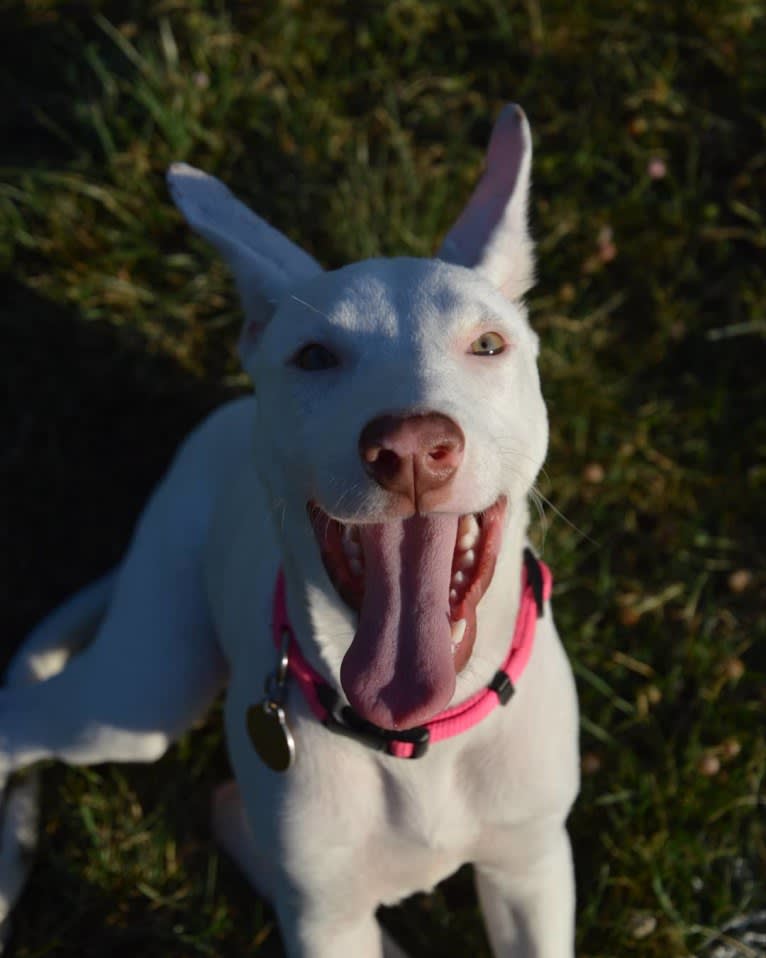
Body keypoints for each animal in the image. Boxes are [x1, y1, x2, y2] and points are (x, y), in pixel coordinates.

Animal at [0, 107, 576, 958]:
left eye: (487, 345)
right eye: (313, 356)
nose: (411, 446)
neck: (415, 740)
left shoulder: (530, 869)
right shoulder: (323, 919)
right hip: (140, 693)